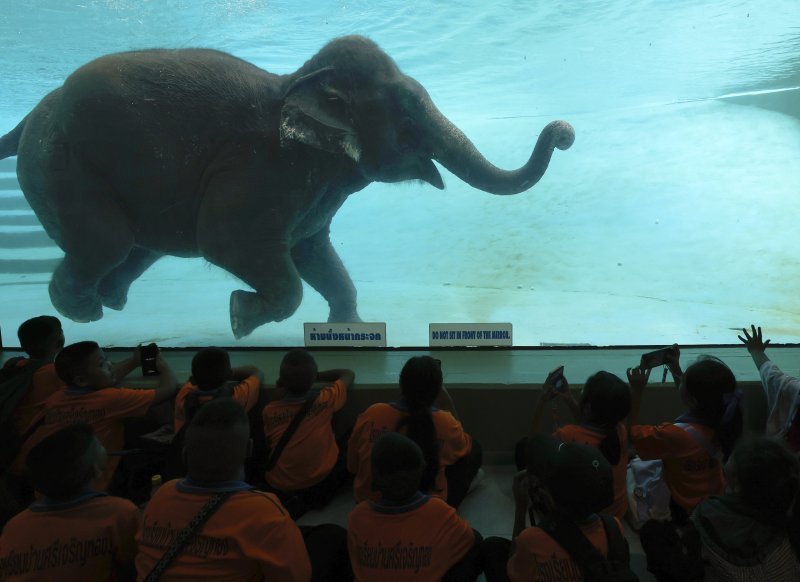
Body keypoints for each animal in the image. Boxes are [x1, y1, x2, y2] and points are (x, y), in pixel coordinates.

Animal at [0, 34, 576, 340]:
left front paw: (351, 331)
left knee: (137, 248)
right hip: (62, 167)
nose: (565, 132)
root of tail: (27, 119)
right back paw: (86, 311)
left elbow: (315, 253)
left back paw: (110, 302)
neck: (296, 84)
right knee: (109, 242)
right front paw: (239, 316)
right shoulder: (264, 173)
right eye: (408, 116)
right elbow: (232, 245)